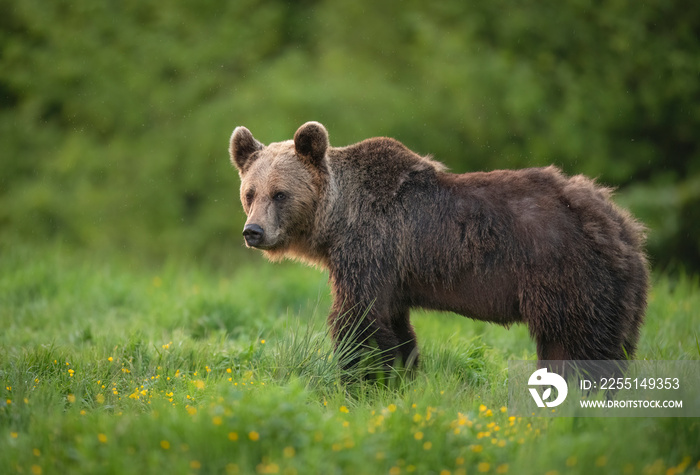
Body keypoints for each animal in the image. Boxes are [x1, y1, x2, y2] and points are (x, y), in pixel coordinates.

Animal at [230, 121, 652, 370]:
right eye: (250, 193)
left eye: (280, 194)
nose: (253, 231)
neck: (337, 220)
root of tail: (619, 222)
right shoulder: (393, 272)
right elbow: (394, 327)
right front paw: (400, 375)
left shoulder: (371, 248)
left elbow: (359, 320)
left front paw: (361, 377)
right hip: (617, 290)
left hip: (564, 275)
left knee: (576, 344)